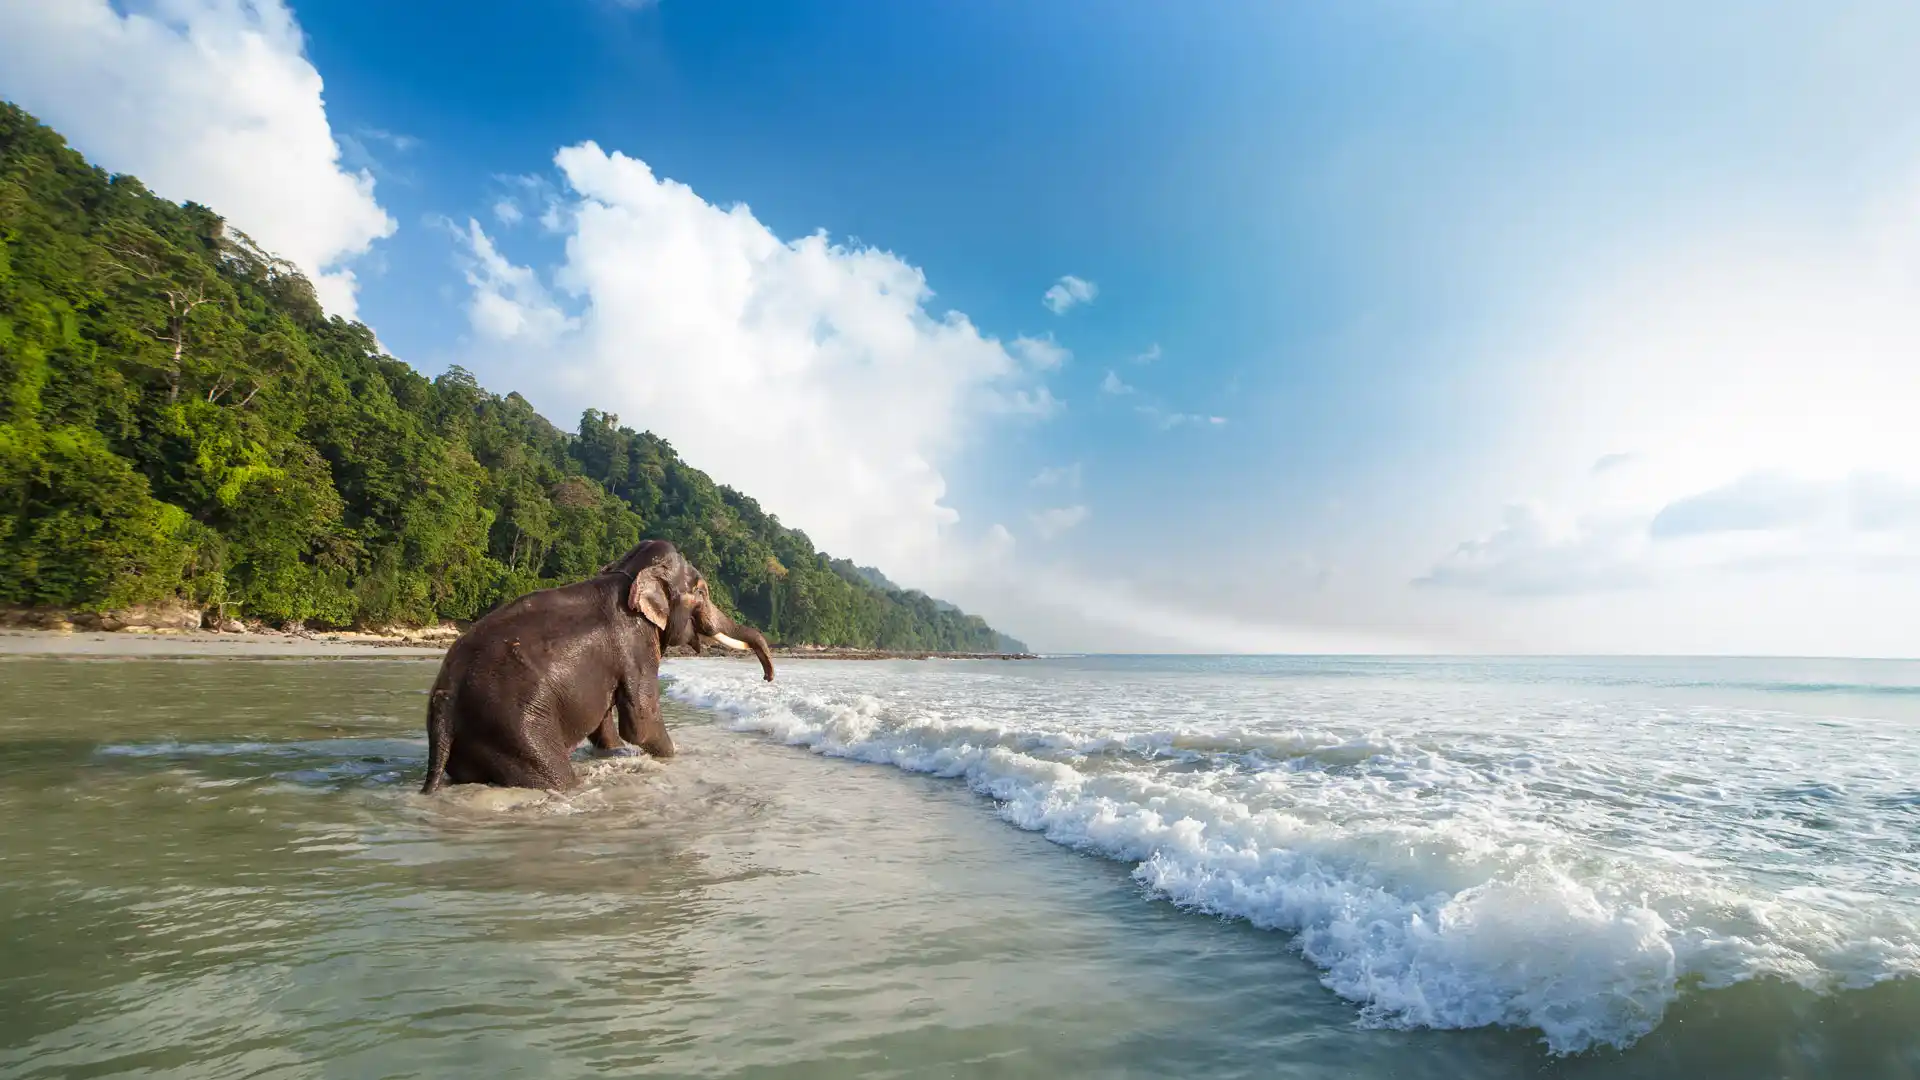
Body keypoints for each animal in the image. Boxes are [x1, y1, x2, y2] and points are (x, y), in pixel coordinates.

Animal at [419, 539, 774, 793]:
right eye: (702, 591)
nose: (769, 678)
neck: (628, 572)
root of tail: (444, 701)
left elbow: (605, 720)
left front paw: (616, 753)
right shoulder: (635, 643)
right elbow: (641, 723)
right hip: (515, 729)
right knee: (555, 777)